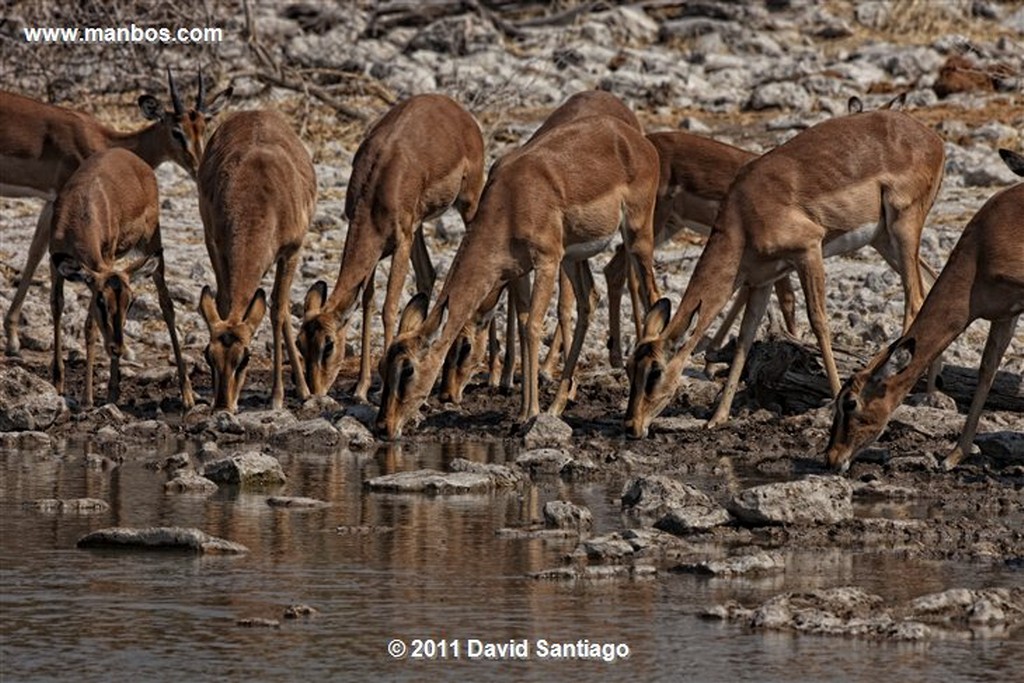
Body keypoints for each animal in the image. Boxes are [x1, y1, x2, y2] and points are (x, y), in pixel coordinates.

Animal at [2, 69, 232, 358]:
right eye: (176, 131)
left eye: (204, 126)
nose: (198, 167)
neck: (106, 140)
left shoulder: (51, 202)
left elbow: (34, 253)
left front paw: (12, 337)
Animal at [48, 147, 195, 409]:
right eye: (101, 301)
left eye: (131, 302)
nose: (117, 348)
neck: (80, 211)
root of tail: (132, 157)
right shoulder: (56, 262)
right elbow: (57, 306)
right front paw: (58, 384)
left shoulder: (104, 261)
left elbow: (90, 327)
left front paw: (87, 398)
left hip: (152, 243)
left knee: (167, 304)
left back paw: (186, 395)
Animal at [197, 109, 313, 413]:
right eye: (208, 355)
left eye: (245, 357)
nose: (223, 405)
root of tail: (255, 111)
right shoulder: (218, 246)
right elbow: (224, 304)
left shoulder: (291, 251)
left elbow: (277, 311)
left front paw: (277, 396)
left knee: (281, 306)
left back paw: (304, 389)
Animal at [299, 92, 485, 401]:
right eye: (301, 343)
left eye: (328, 345)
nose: (315, 391)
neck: (377, 187)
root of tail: (457, 110)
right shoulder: (376, 248)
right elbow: (367, 303)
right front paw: (361, 387)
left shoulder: (400, 243)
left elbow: (388, 307)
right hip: (418, 226)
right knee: (427, 273)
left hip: (467, 204)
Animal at [378, 114, 663, 438]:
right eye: (382, 366)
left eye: (408, 369)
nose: (384, 426)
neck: (512, 200)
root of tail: (636, 140)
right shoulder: (520, 270)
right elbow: (524, 320)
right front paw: (524, 412)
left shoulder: (547, 261)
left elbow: (532, 327)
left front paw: (530, 413)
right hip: (574, 258)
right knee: (589, 300)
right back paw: (557, 406)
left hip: (636, 236)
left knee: (653, 297)